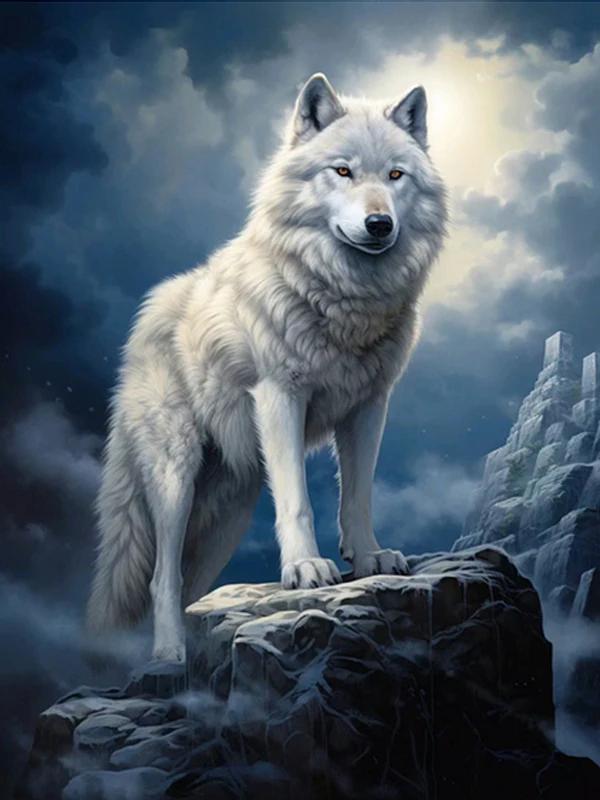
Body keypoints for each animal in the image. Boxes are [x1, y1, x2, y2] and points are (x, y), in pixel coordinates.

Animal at [87, 73, 447, 663]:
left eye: (396, 176)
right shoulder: (281, 396)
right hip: (175, 479)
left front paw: (368, 556)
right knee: (162, 576)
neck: (342, 300)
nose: (379, 223)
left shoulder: (369, 407)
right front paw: (306, 568)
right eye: (343, 171)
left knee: (189, 583)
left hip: (229, 511)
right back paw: (170, 655)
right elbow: (299, 502)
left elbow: (359, 496)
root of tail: (146, 319)